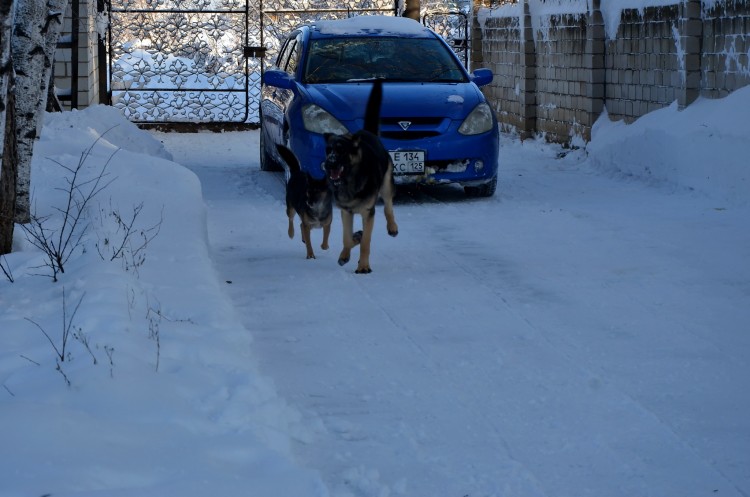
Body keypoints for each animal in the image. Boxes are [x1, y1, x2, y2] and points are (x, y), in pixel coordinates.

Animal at [324, 80, 400, 274]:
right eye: (328, 150)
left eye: (341, 151)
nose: (328, 164)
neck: (351, 180)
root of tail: (368, 133)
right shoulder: (346, 212)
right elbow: (347, 238)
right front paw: (347, 252)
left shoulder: (368, 213)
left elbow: (366, 242)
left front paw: (364, 266)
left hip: (386, 184)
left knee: (388, 206)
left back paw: (392, 227)